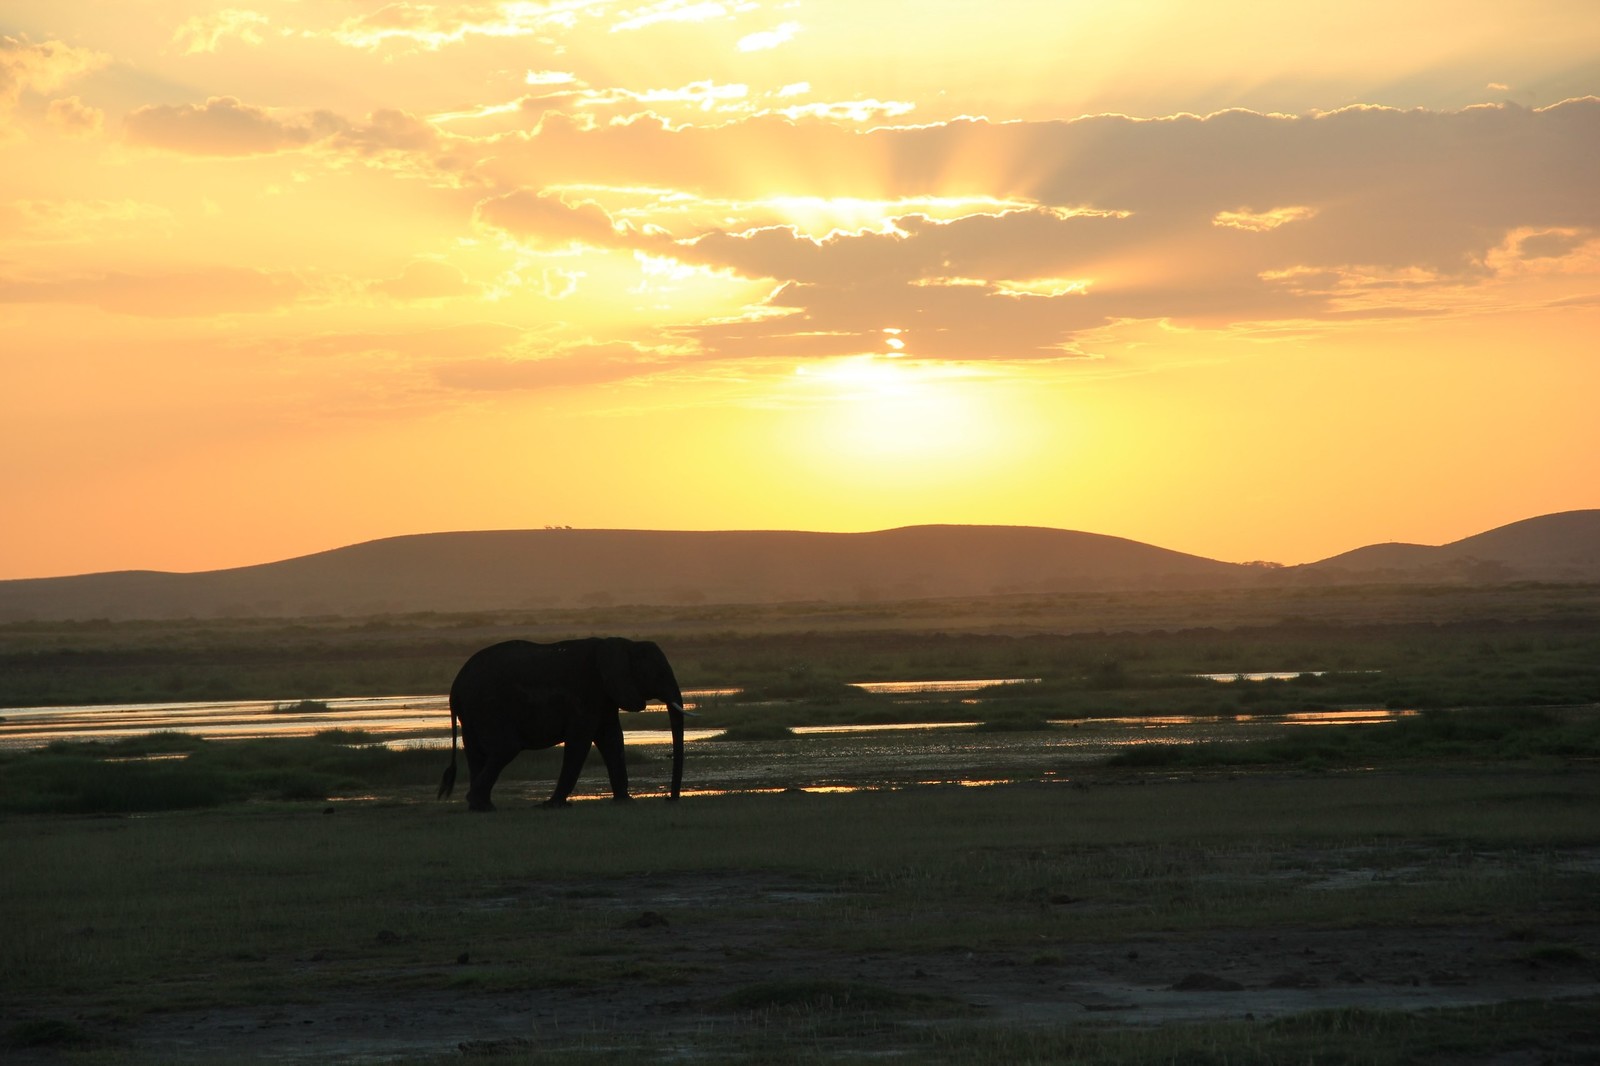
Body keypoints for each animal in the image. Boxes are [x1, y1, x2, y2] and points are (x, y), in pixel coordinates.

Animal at [438, 640, 688, 806]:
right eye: (659, 674)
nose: (670, 798)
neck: (620, 644)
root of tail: (455, 688)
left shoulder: (605, 694)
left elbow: (612, 738)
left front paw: (625, 801)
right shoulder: (586, 693)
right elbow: (580, 741)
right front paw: (553, 805)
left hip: (473, 712)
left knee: (477, 753)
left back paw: (482, 807)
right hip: (488, 706)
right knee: (505, 748)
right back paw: (480, 803)